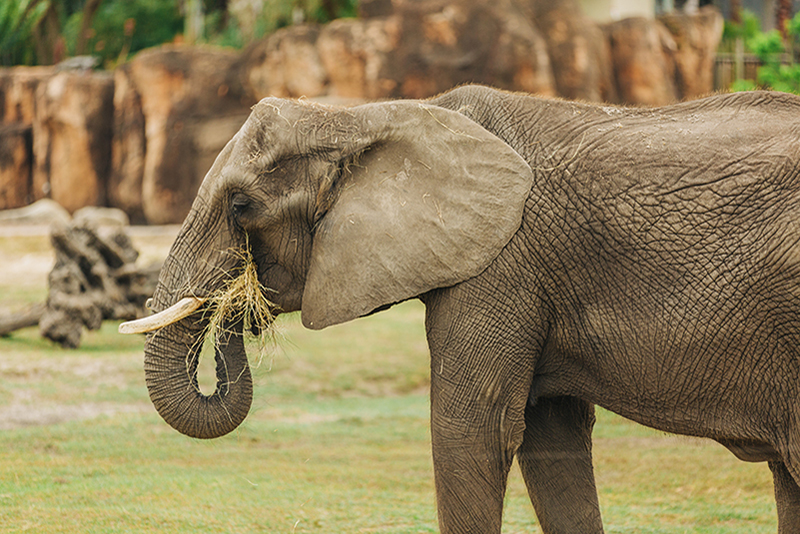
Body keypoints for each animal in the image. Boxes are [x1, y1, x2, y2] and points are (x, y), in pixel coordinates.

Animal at [120, 85, 800, 533]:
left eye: (240, 207)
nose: (239, 309)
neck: (369, 114)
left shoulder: (502, 265)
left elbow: (472, 433)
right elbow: (551, 439)